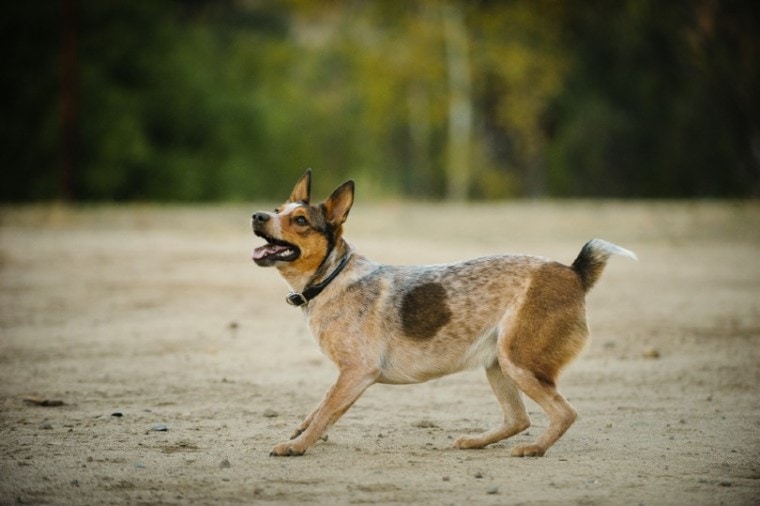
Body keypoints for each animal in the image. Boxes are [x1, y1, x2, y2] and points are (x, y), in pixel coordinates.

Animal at [251, 170, 636, 458]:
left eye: (300, 220)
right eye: (276, 209)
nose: (257, 216)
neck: (331, 277)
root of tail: (573, 271)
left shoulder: (358, 372)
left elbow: (326, 411)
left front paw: (297, 445)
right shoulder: (347, 375)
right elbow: (320, 407)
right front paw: (301, 430)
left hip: (519, 362)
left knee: (563, 413)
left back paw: (535, 449)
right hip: (498, 364)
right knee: (518, 418)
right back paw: (476, 441)